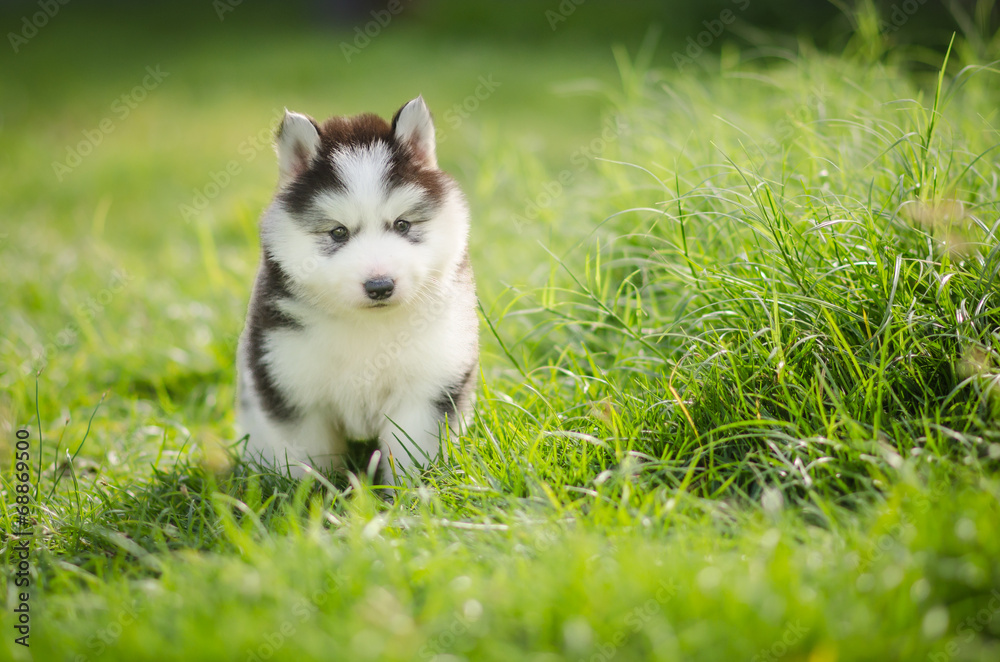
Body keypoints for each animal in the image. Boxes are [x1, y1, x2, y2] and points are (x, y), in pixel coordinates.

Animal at [238, 97, 480, 482]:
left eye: (402, 224)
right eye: (338, 232)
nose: (379, 286)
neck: (368, 328)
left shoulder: (426, 389)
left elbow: (411, 455)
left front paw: (411, 492)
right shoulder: (293, 389)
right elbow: (311, 461)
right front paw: (313, 493)